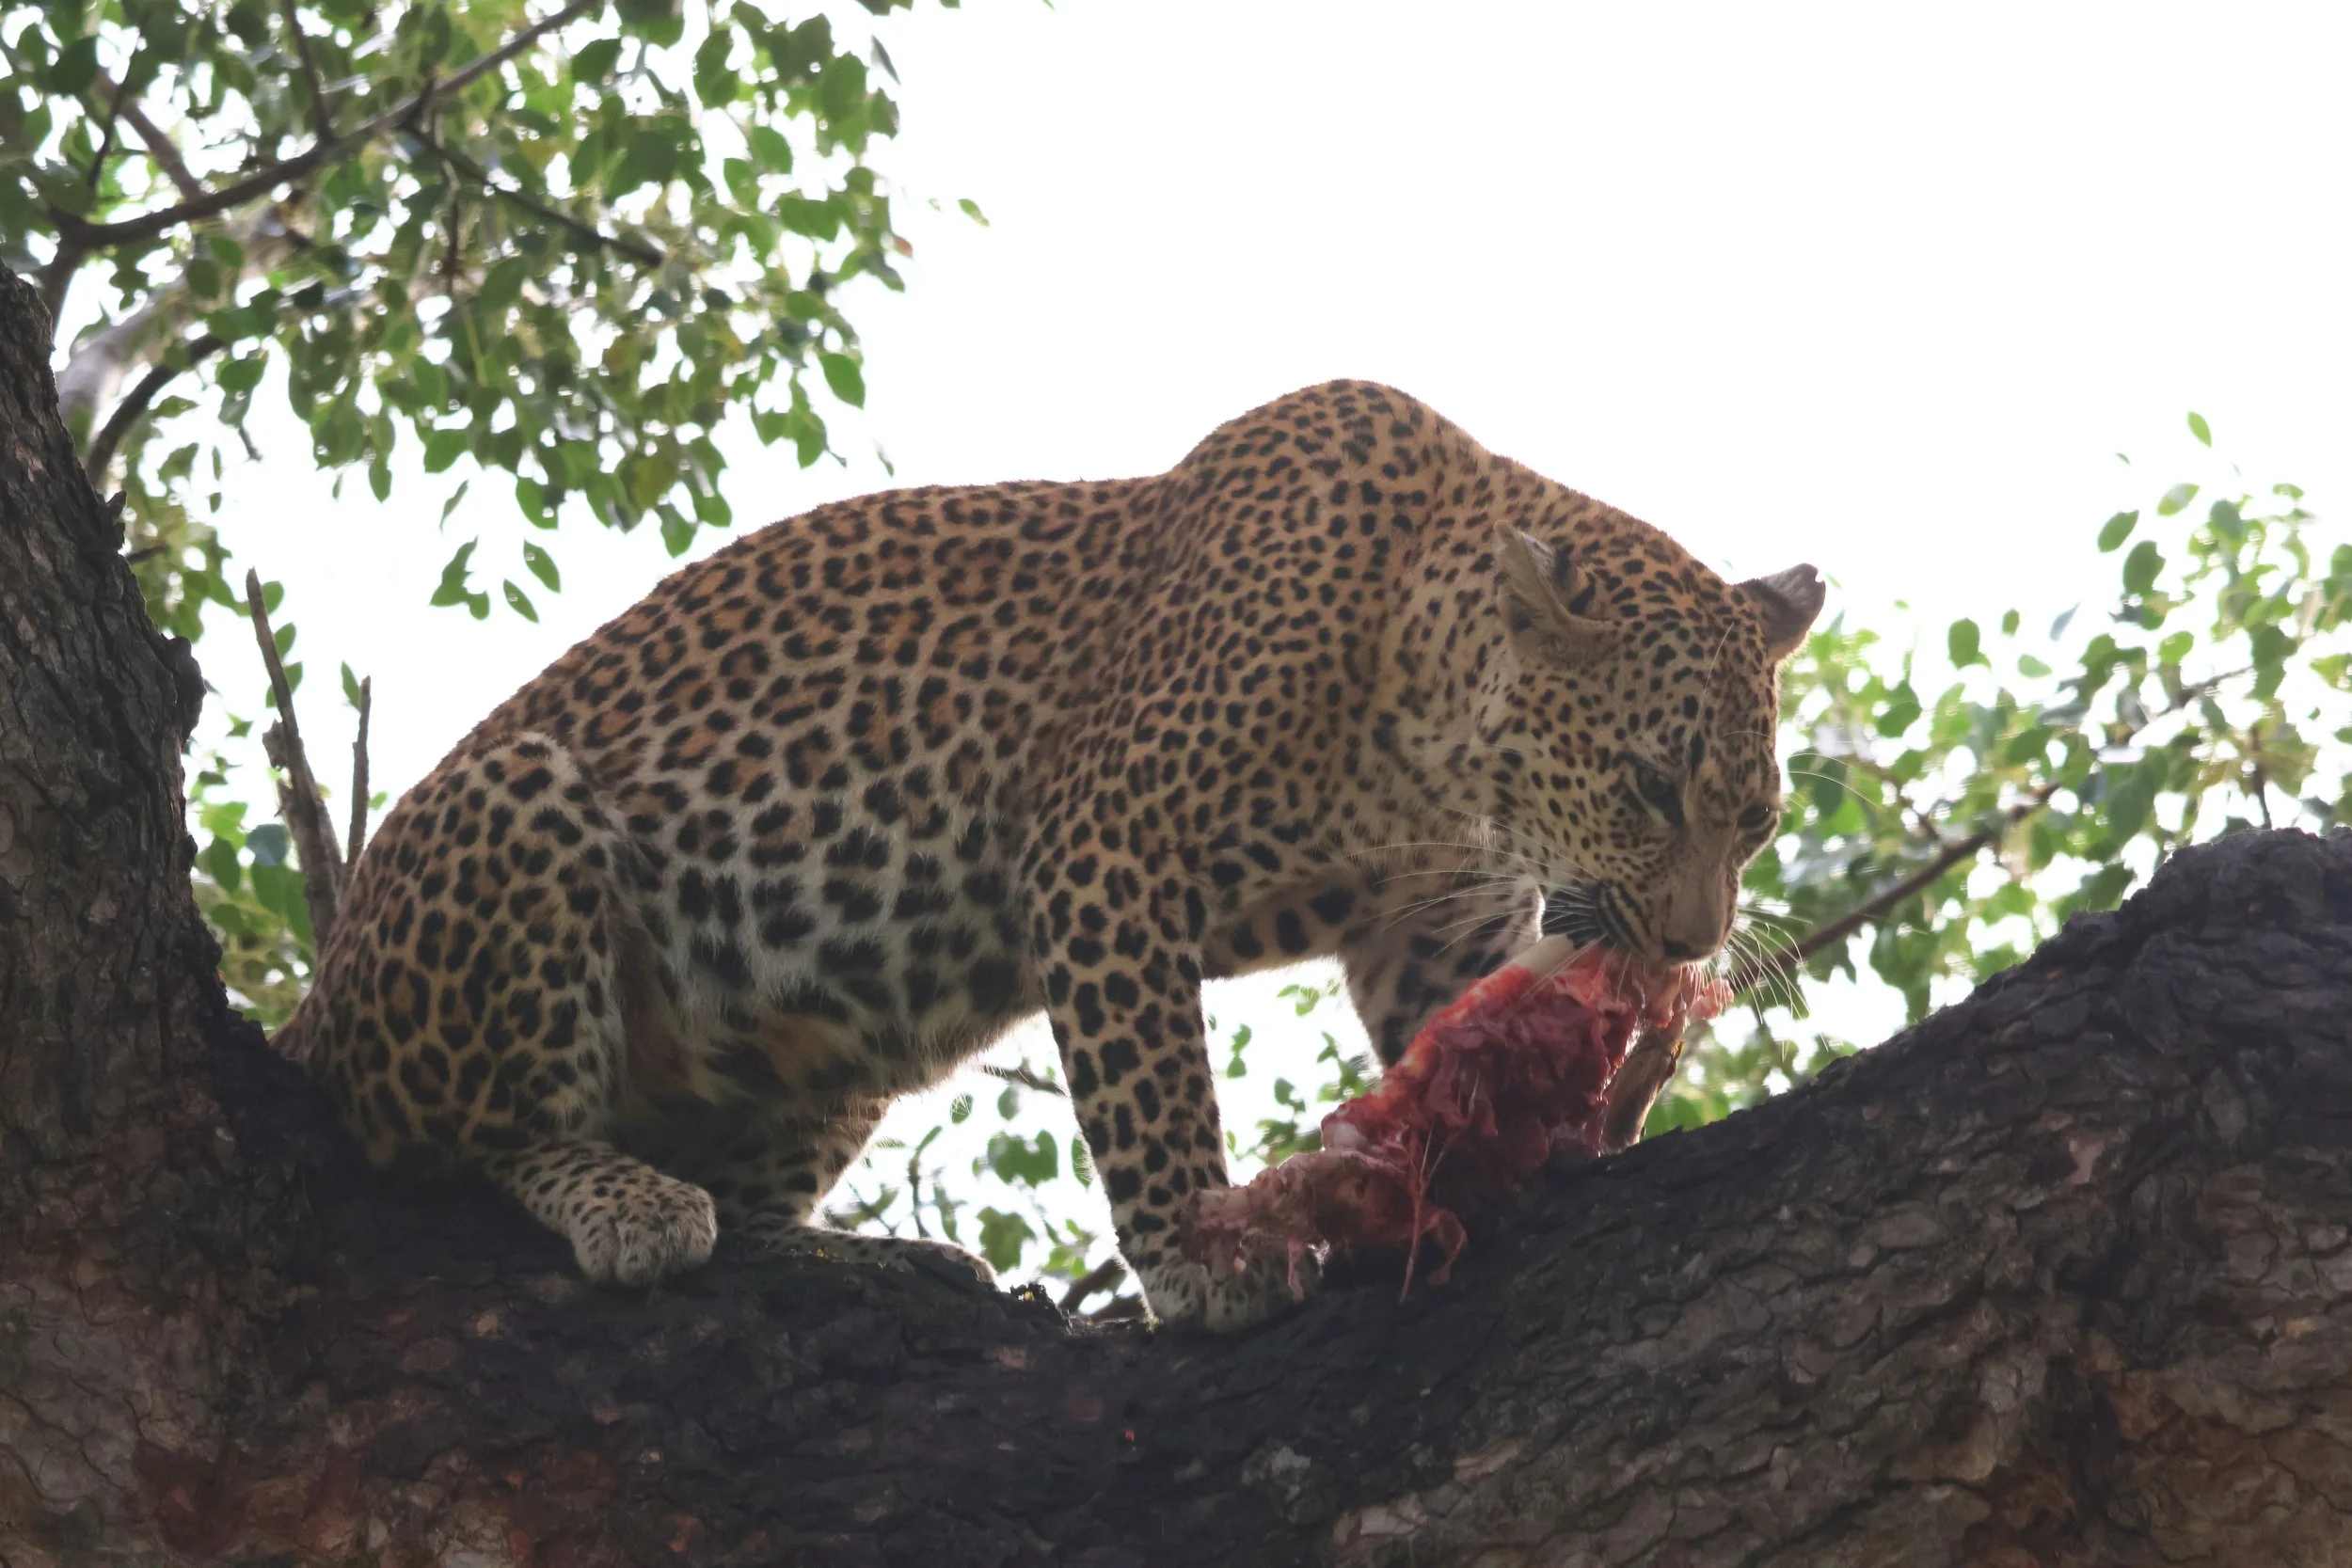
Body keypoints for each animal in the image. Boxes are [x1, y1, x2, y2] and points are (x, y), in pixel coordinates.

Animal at [272, 379, 1823, 1331]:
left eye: (1754, 820)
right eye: (1648, 784)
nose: (1693, 942)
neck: (1433, 742)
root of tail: (317, 999)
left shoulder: (1421, 923)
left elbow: (1462, 1037)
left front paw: (1568, 1107)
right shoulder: (1107, 840)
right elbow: (1152, 1085)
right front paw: (1205, 1257)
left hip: (823, 1048)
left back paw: (876, 1254)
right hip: (518, 809)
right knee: (473, 1140)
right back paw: (629, 1201)